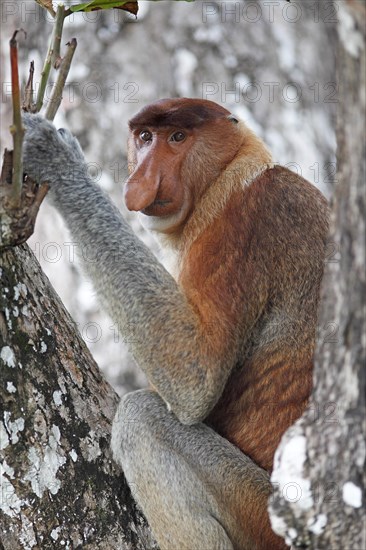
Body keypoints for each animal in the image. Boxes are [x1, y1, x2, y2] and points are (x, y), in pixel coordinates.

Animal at [22, 100, 328, 550]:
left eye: (178, 138)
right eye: (145, 137)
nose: (141, 178)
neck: (230, 175)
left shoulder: (240, 226)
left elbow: (193, 380)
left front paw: (57, 161)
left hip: (262, 516)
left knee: (142, 419)